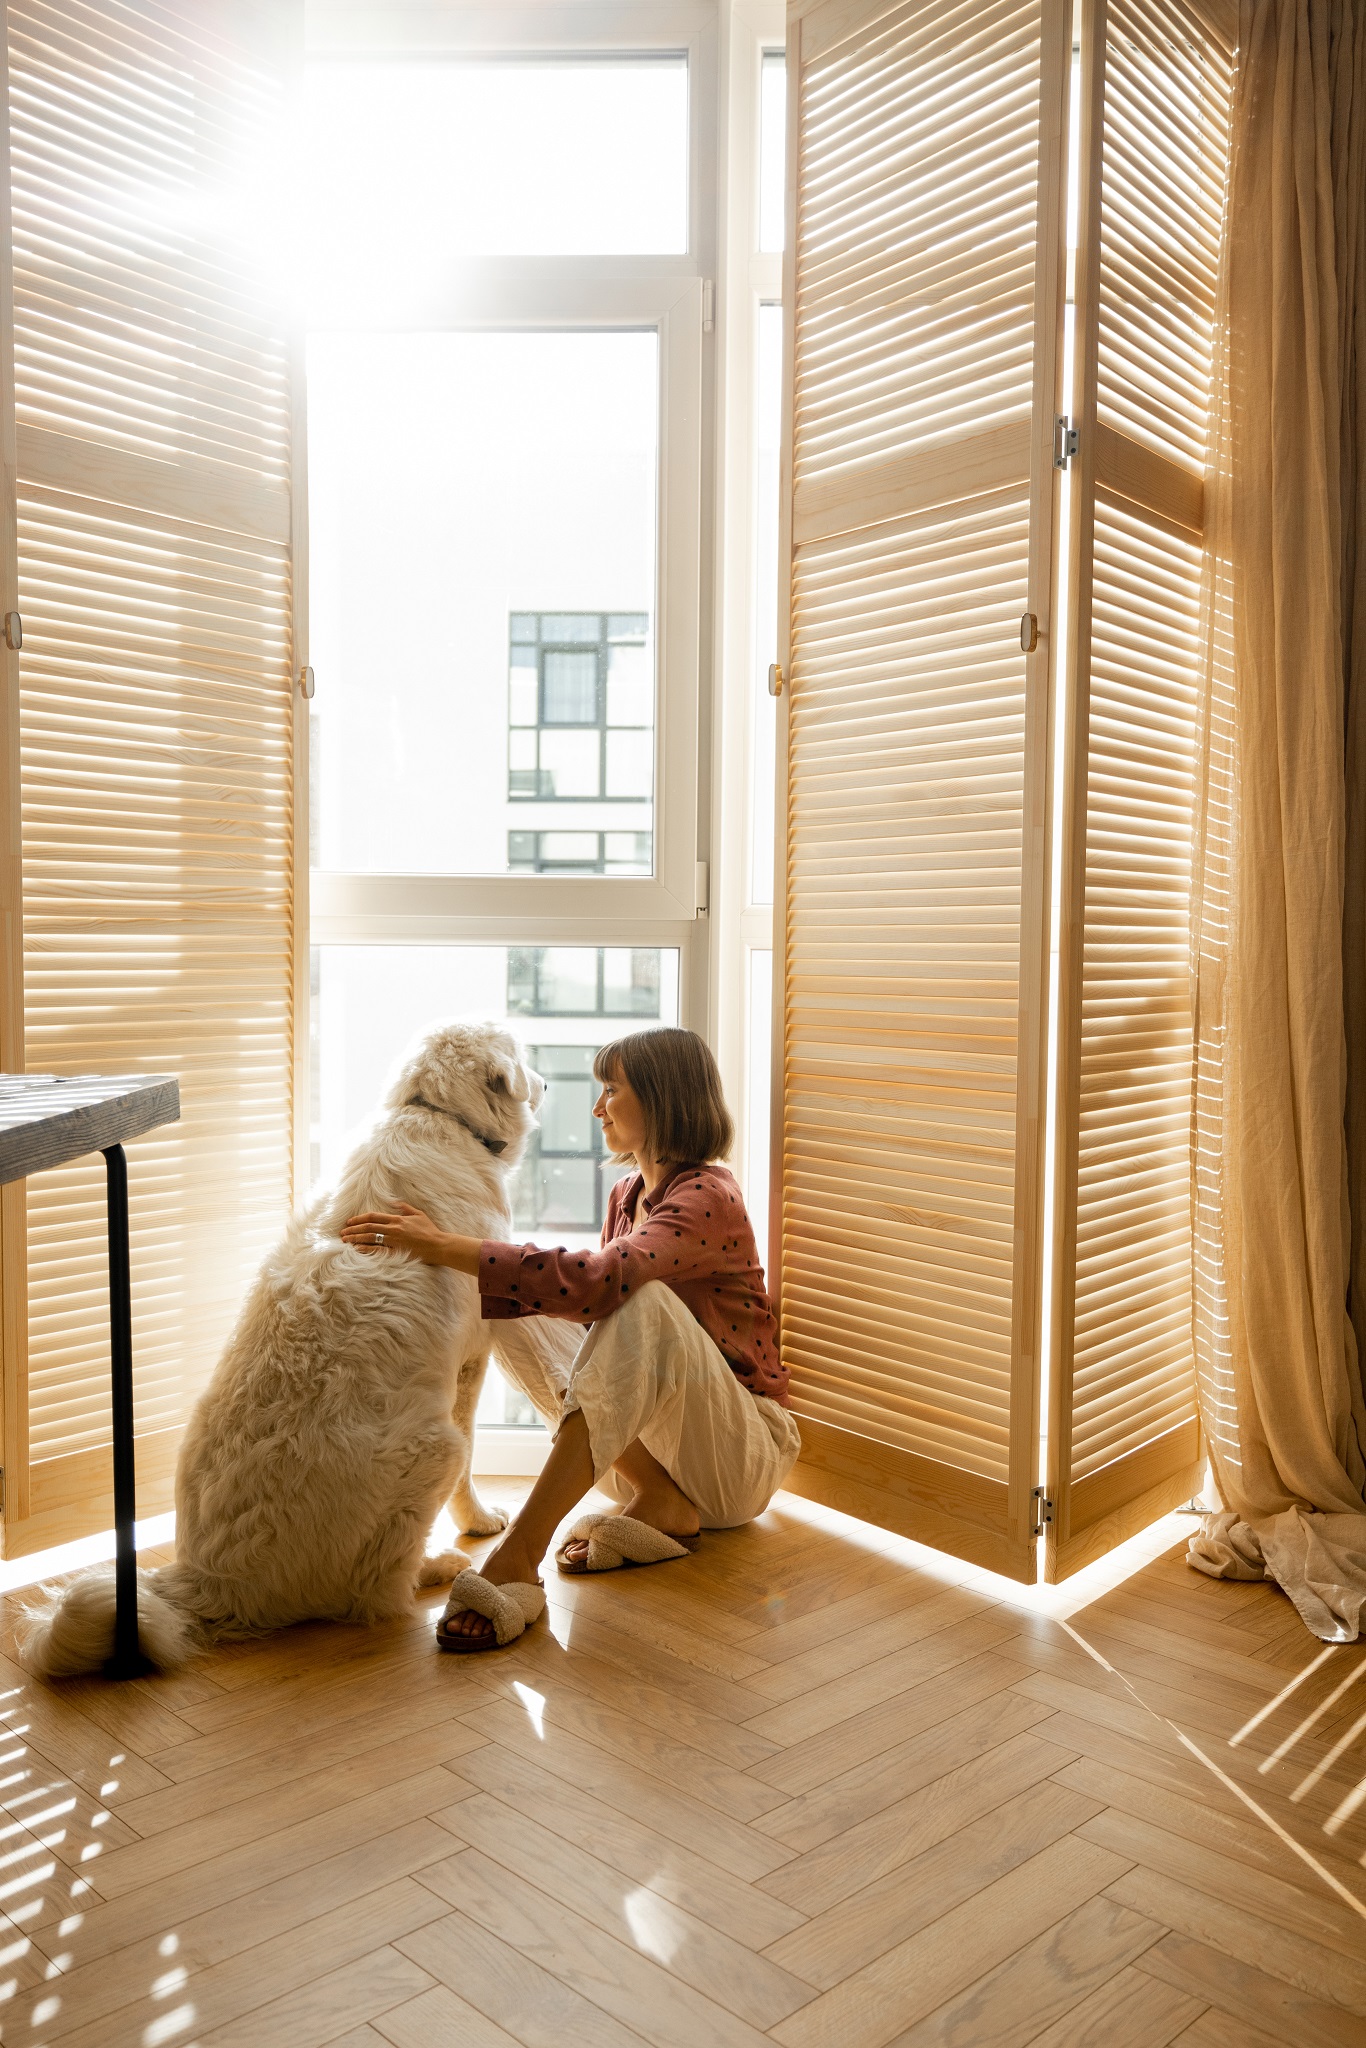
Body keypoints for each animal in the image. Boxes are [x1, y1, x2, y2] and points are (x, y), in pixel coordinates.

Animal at [18, 1024, 544, 1679]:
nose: (546, 1082)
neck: (435, 1114)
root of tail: (207, 1583)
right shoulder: (472, 1362)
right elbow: (474, 1455)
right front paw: (478, 1522)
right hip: (430, 1454)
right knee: (374, 1593)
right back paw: (438, 1568)